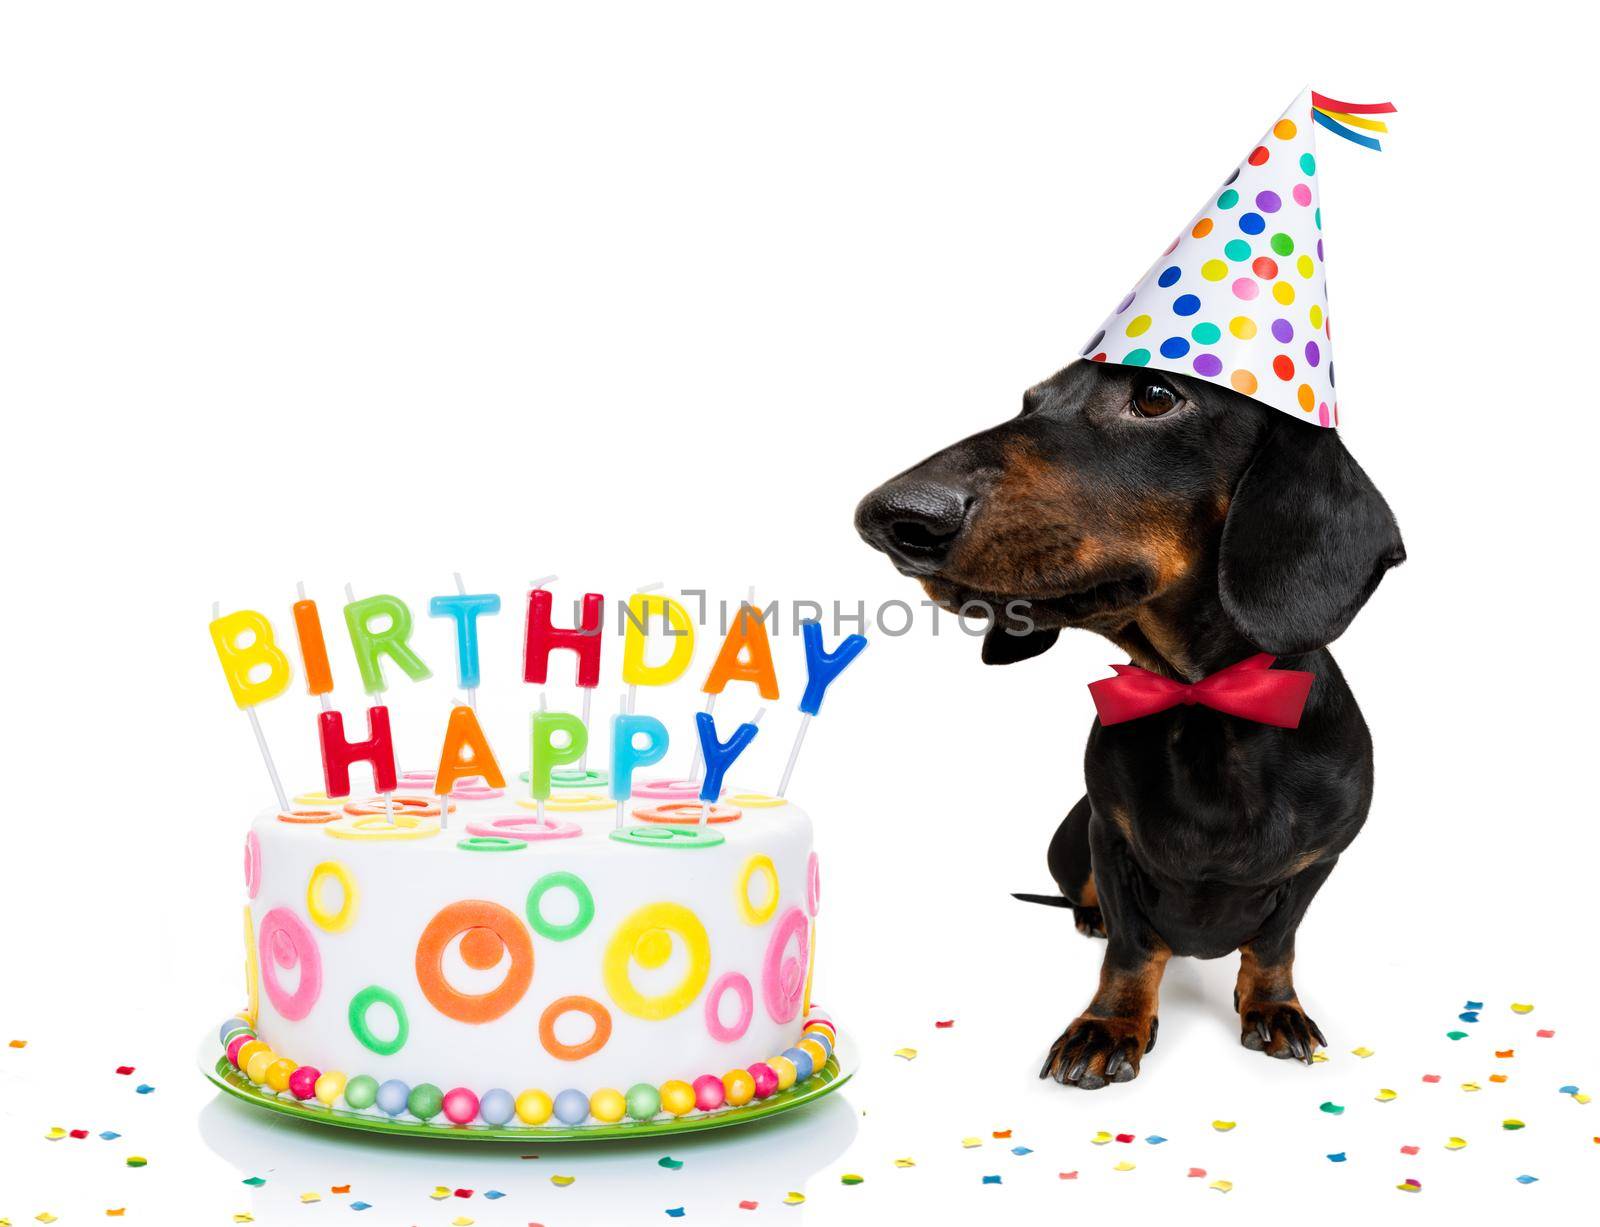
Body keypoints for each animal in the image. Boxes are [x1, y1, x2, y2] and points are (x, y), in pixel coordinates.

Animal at [851, 359, 1401, 1087]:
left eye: (1157, 396)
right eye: (1029, 401)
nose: (891, 517)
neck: (1205, 708)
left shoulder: (1319, 861)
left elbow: (1274, 943)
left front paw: (1274, 1008)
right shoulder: (1108, 841)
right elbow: (1135, 947)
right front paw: (1109, 1027)